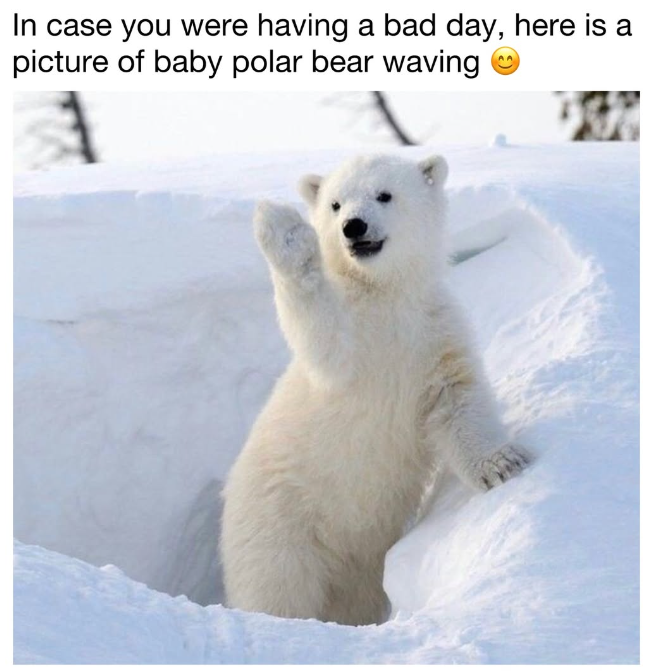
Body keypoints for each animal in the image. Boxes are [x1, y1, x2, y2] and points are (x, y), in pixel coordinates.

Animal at [220, 153, 531, 626]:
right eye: (334, 203)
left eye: (384, 194)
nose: (354, 226)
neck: (385, 295)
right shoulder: (351, 345)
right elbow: (323, 338)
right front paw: (286, 232)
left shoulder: (433, 333)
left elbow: (457, 400)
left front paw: (503, 465)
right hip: (280, 522)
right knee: (276, 587)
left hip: (358, 565)